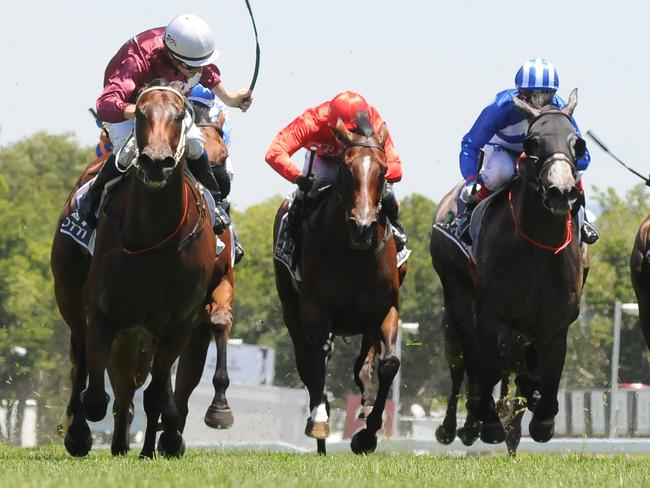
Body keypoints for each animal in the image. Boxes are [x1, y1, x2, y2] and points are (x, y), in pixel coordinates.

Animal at [48, 83, 218, 458]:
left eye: (179, 115)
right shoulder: (100, 313)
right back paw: (81, 434)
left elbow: (155, 393)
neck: (153, 237)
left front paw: (159, 445)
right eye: (140, 113)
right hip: (70, 298)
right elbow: (95, 394)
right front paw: (83, 433)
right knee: (81, 362)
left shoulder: (179, 324)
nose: (155, 162)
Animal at [272, 116, 400, 456]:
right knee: (307, 363)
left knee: (365, 360)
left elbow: (389, 363)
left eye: (384, 169)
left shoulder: (386, 307)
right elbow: (320, 355)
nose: (363, 226)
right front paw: (319, 420)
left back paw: (365, 402)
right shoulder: (317, 308)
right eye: (346, 167)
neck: (354, 254)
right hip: (292, 312)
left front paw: (367, 434)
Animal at [466, 89, 588, 448]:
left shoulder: (556, 323)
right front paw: (491, 422)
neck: (538, 248)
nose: (561, 192)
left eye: (578, 144)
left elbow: (551, 373)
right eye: (532, 142)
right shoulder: (488, 315)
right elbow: (487, 366)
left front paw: (543, 418)